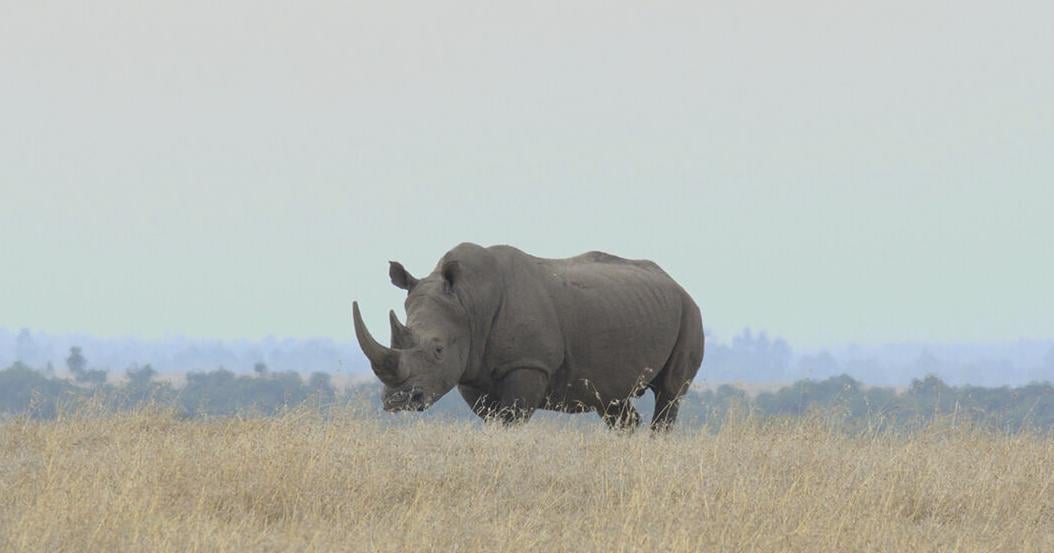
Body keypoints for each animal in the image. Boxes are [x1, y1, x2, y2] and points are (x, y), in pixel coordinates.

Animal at [352, 243, 704, 430]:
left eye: (438, 350)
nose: (397, 402)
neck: (468, 302)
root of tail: (676, 283)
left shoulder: (528, 364)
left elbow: (511, 419)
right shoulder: (472, 370)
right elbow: (493, 420)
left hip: (689, 312)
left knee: (670, 393)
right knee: (612, 402)